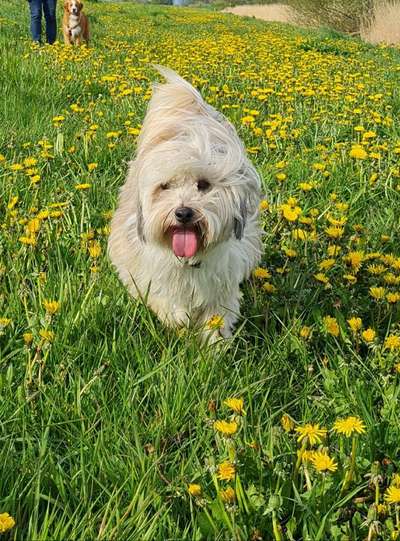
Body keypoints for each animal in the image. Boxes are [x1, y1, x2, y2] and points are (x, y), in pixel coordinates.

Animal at [108, 65, 262, 340]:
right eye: (165, 186)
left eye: (203, 184)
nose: (183, 213)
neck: (189, 262)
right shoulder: (151, 274)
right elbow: (164, 301)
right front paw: (178, 319)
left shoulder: (222, 286)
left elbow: (216, 320)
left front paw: (214, 346)